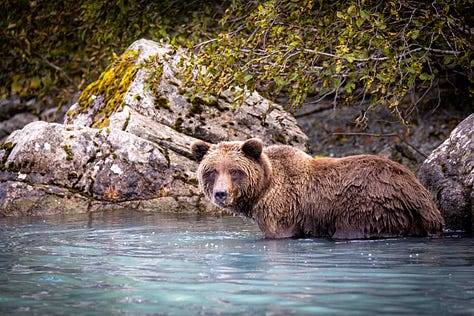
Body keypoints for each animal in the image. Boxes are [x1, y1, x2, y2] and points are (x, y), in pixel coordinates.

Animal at [190, 138, 444, 239]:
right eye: (212, 171)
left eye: (235, 171)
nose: (220, 194)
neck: (263, 187)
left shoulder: (281, 208)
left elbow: (280, 233)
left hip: (367, 205)